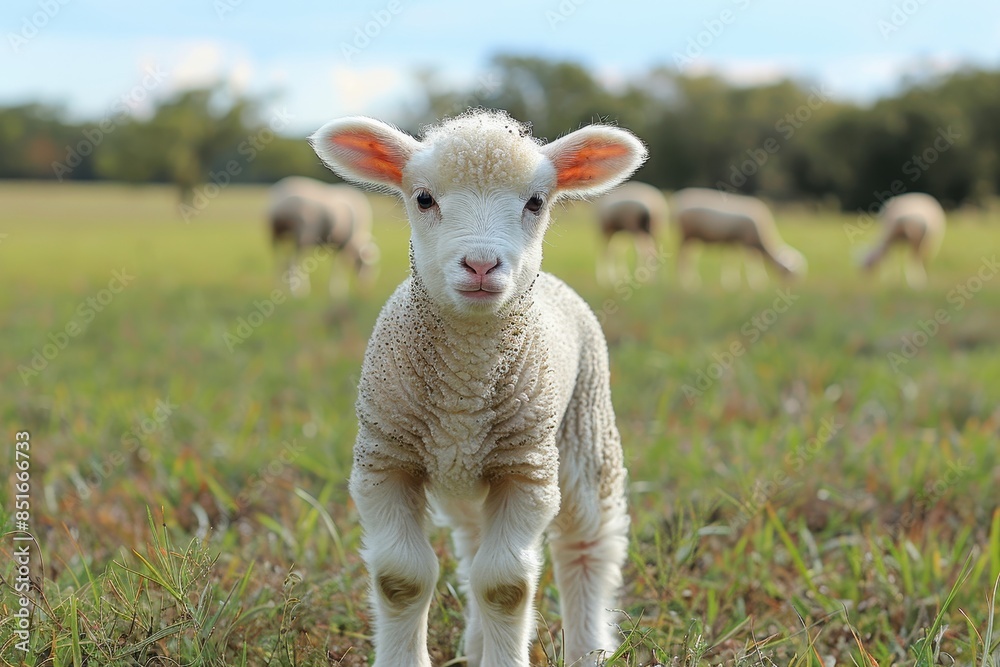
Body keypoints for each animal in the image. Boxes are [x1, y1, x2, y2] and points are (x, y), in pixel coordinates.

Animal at [309, 109, 646, 667]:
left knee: (587, 547)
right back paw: (474, 642)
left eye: (536, 202)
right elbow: (401, 579)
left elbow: (505, 586)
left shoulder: (526, 470)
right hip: (462, 481)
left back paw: (588, 648)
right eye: (424, 198)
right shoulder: (385, 461)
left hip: (584, 433)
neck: (463, 388)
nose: (482, 265)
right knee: (471, 544)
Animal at [671, 187, 806, 290]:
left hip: (693, 237)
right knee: (682, 257)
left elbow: (731, 260)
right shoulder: (747, 242)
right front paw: (757, 283)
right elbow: (753, 262)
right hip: (686, 233)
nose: (792, 288)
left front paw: (730, 282)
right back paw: (683, 282)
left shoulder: (733, 241)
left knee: (690, 257)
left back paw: (691, 281)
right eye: (788, 273)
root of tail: (677, 199)